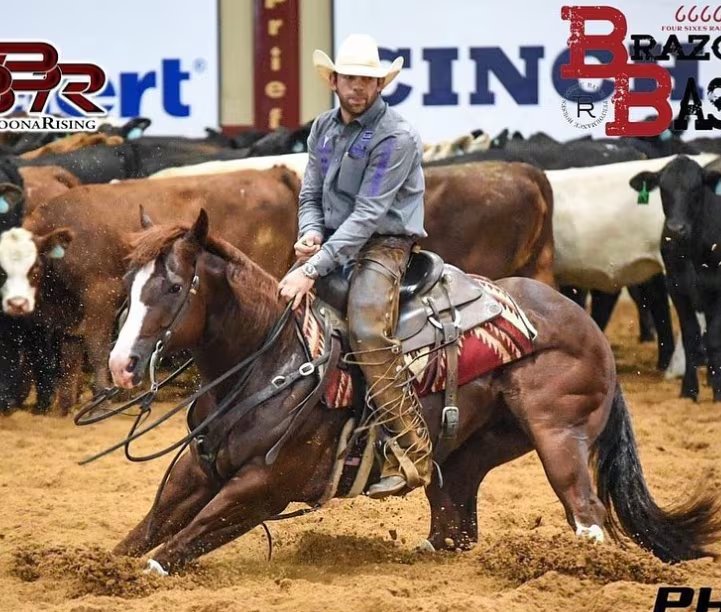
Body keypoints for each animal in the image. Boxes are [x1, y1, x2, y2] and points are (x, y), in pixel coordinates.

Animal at [105, 209, 721, 574]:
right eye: (130, 285)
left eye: (174, 287)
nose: (121, 365)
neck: (270, 364)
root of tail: (585, 325)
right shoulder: (198, 467)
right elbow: (142, 534)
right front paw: (98, 570)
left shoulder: (264, 487)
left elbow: (173, 549)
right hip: (468, 456)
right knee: (454, 529)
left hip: (559, 437)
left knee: (589, 516)